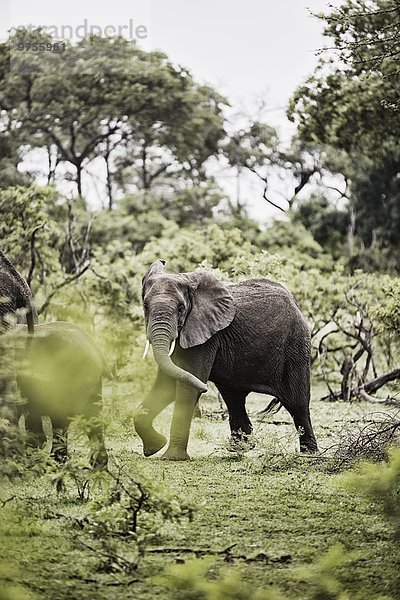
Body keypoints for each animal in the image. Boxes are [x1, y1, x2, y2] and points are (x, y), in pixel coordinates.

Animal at [134, 260, 318, 462]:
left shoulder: (206, 336)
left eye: (181, 308)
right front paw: (155, 447)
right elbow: (168, 383)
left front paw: (172, 458)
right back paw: (239, 447)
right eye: (145, 306)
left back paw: (309, 454)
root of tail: (295, 302)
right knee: (234, 397)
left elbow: (186, 384)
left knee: (297, 403)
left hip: (296, 344)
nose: (205, 388)